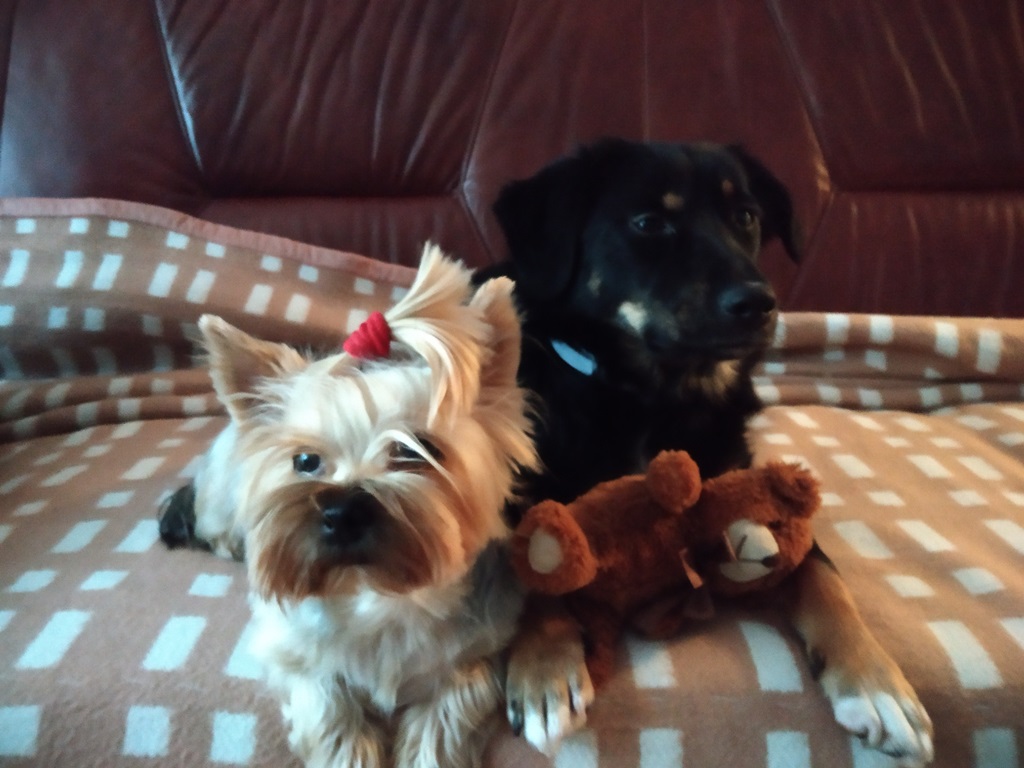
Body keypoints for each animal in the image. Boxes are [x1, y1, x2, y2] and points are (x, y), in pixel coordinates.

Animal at [160, 246, 538, 768]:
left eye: (418, 450)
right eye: (305, 461)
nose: (342, 511)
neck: (374, 591)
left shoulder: (475, 654)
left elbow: (446, 715)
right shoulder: (291, 652)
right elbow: (328, 706)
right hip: (222, 492)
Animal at [477, 139, 934, 766]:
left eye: (745, 216)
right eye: (649, 223)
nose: (760, 304)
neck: (654, 397)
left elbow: (824, 576)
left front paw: (877, 684)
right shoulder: (521, 495)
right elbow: (532, 574)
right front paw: (545, 670)